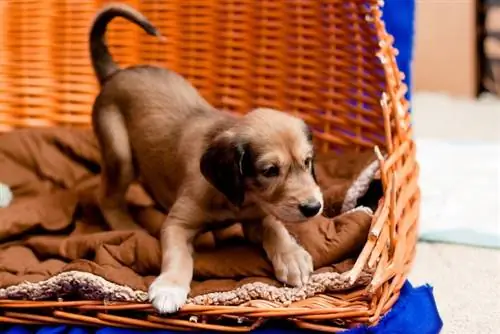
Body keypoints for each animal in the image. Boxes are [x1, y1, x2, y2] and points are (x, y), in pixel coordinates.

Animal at [90, 3, 324, 314]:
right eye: (270, 171)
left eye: (307, 162)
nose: (314, 207)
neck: (237, 198)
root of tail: (115, 74)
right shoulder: (177, 225)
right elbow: (179, 257)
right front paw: (169, 287)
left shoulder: (257, 216)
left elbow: (275, 227)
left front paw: (292, 256)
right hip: (120, 153)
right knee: (107, 198)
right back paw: (128, 227)